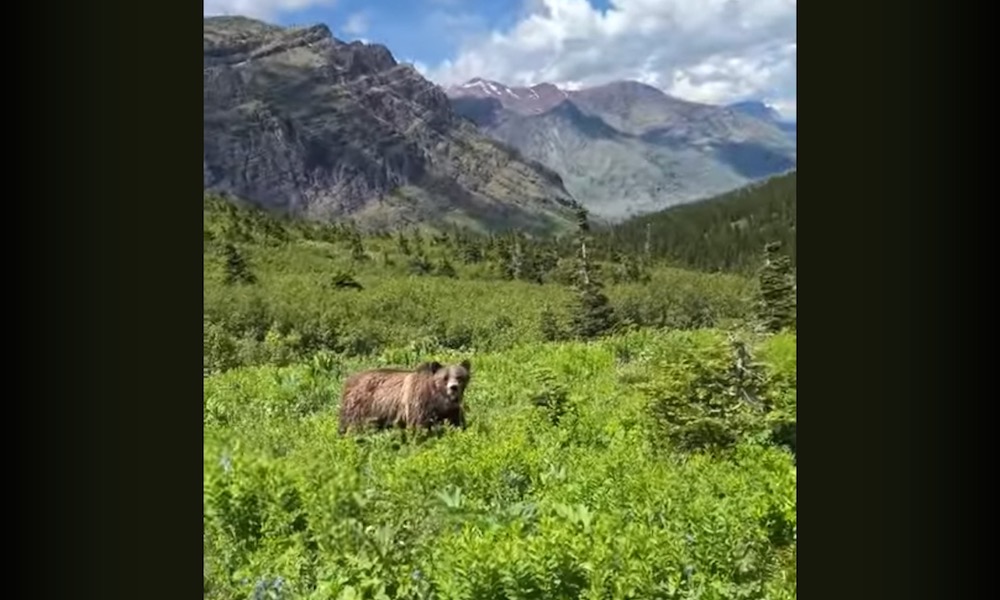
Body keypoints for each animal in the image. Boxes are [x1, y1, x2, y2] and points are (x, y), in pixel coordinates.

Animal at [340, 358, 472, 434]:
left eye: (459, 377)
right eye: (445, 378)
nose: (453, 387)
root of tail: (349, 380)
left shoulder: (450, 409)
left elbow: (456, 422)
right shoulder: (419, 402)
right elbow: (418, 426)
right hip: (362, 406)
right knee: (352, 425)